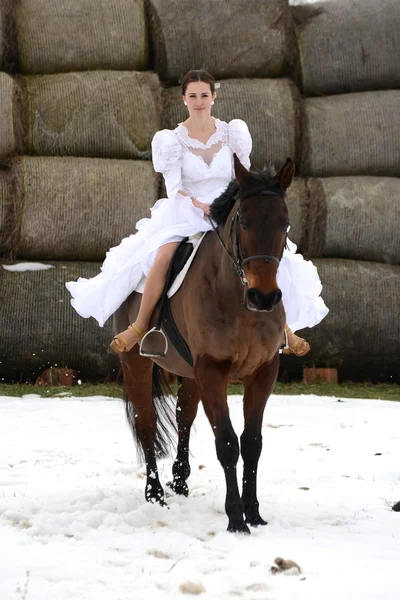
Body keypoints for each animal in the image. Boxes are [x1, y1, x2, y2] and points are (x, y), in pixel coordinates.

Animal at [112, 156, 294, 536]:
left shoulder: (263, 372)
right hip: (137, 363)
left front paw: (254, 512)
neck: (239, 300)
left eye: (284, 223)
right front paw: (236, 519)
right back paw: (155, 492)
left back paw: (180, 481)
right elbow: (226, 442)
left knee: (184, 415)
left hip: (191, 372)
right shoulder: (212, 370)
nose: (264, 297)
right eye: (244, 221)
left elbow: (252, 443)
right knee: (146, 421)